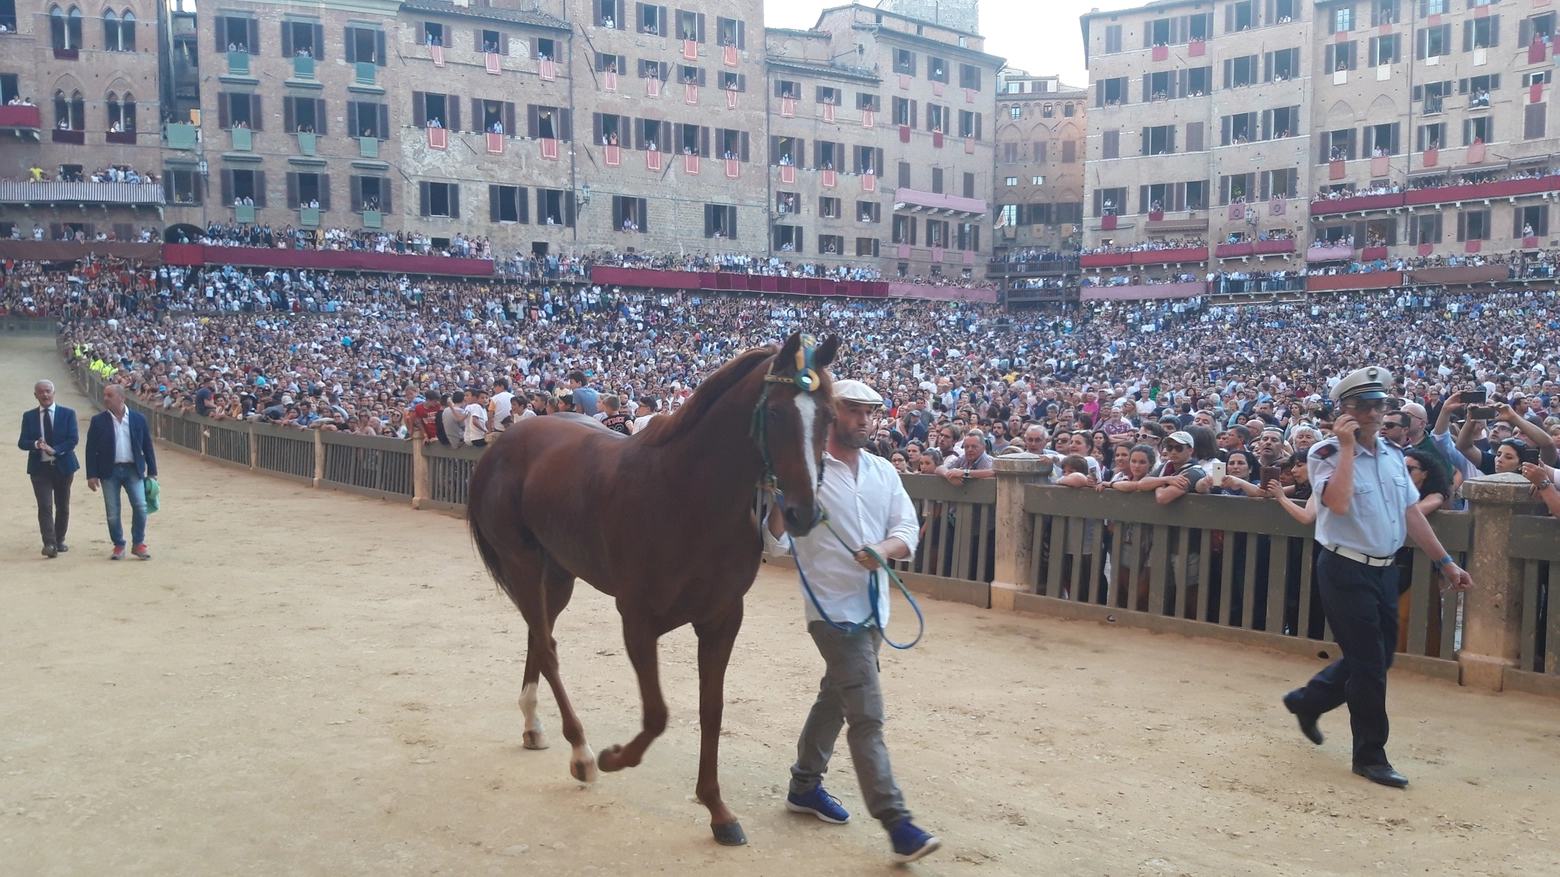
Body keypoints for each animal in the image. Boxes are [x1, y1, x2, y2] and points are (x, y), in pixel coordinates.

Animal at [467, 327, 842, 842]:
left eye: (828, 415)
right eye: (777, 412)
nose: (804, 513)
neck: (688, 498)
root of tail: (506, 440)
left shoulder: (723, 619)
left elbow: (711, 709)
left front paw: (718, 810)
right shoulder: (638, 619)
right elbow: (659, 713)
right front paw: (613, 757)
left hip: (559, 571)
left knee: (539, 637)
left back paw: (533, 724)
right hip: (522, 562)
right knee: (545, 646)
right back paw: (581, 752)